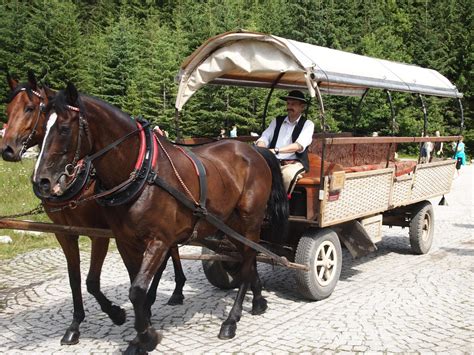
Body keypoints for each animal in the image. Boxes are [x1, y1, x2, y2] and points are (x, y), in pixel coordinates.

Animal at [1, 73, 187, 348]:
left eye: (31, 108)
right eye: (8, 109)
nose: (7, 149)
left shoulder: (99, 233)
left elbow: (91, 281)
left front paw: (117, 314)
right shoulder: (64, 233)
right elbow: (75, 278)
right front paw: (75, 325)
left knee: (169, 254)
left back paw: (172, 292)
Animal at [33, 82, 286, 354]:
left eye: (64, 128)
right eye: (42, 127)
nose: (42, 181)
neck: (142, 172)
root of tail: (254, 149)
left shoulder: (159, 241)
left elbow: (137, 290)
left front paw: (145, 336)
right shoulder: (125, 242)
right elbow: (136, 286)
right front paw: (141, 330)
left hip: (250, 220)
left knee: (249, 257)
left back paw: (231, 319)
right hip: (229, 223)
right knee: (246, 256)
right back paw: (258, 299)